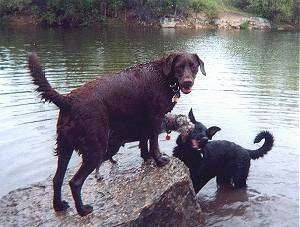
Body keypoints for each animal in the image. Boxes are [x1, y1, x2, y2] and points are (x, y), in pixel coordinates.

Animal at [28, 51, 206, 216]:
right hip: (96, 148)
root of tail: (68, 101)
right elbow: (154, 144)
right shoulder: (155, 118)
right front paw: (160, 161)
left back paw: (59, 206)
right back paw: (83, 210)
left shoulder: (145, 123)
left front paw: (147, 158)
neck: (162, 76)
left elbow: (144, 143)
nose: (188, 82)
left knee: (57, 179)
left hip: (65, 146)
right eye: (179, 67)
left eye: (193, 66)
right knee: (75, 182)